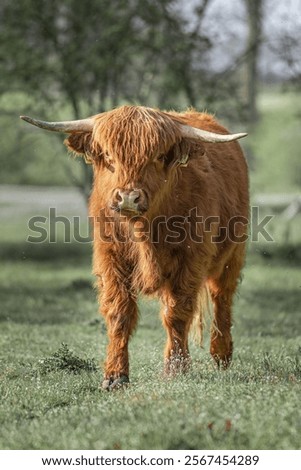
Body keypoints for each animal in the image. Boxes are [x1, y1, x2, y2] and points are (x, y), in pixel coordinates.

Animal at [19, 105, 247, 390]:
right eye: (108, 155)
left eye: (158, 156)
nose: (128, 197)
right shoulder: (110, 258)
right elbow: (120, 312)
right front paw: (115, 375)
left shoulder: (191, 259)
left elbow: (177, 312)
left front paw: (176, 369)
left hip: (233, 254)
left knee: (221, 298)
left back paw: (221, 354)